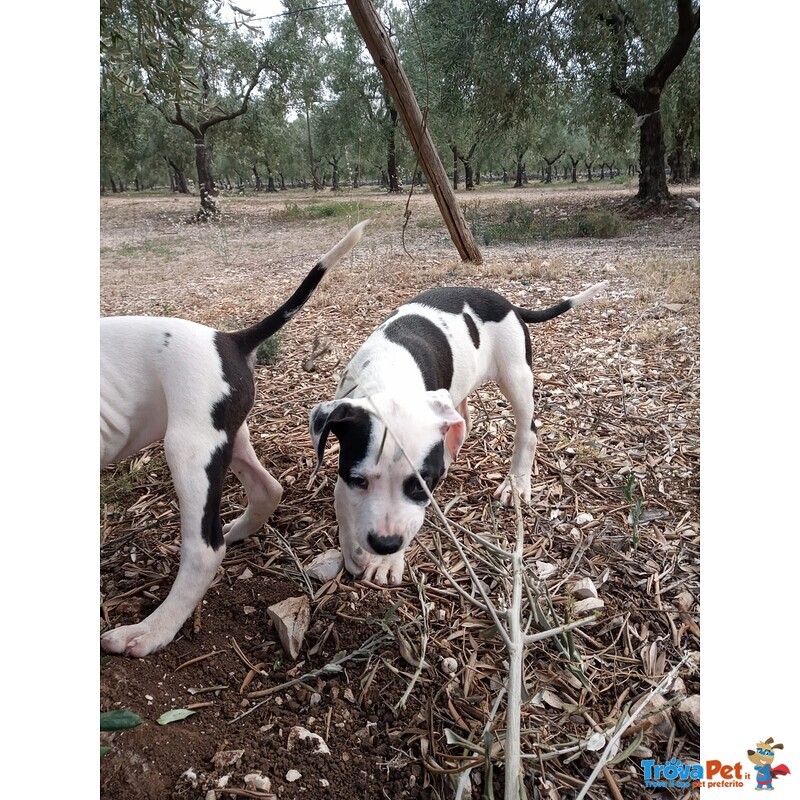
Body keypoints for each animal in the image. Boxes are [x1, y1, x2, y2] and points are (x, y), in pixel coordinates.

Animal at [101, 220, 372, 656]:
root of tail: (229, 339)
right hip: (226, 435)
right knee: (268, 488)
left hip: (189, 449)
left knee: (205, 549)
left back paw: (151, 630)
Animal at [310, 282, 604, 588]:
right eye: (359, 480)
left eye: (422, 484)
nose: (385, 543)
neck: (388, 379)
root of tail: (506, 303)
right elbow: (343, 501)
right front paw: (353, 551)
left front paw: (387, 562)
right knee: (464, 421)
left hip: (516, 376)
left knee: (528, 430)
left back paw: (517, 483)